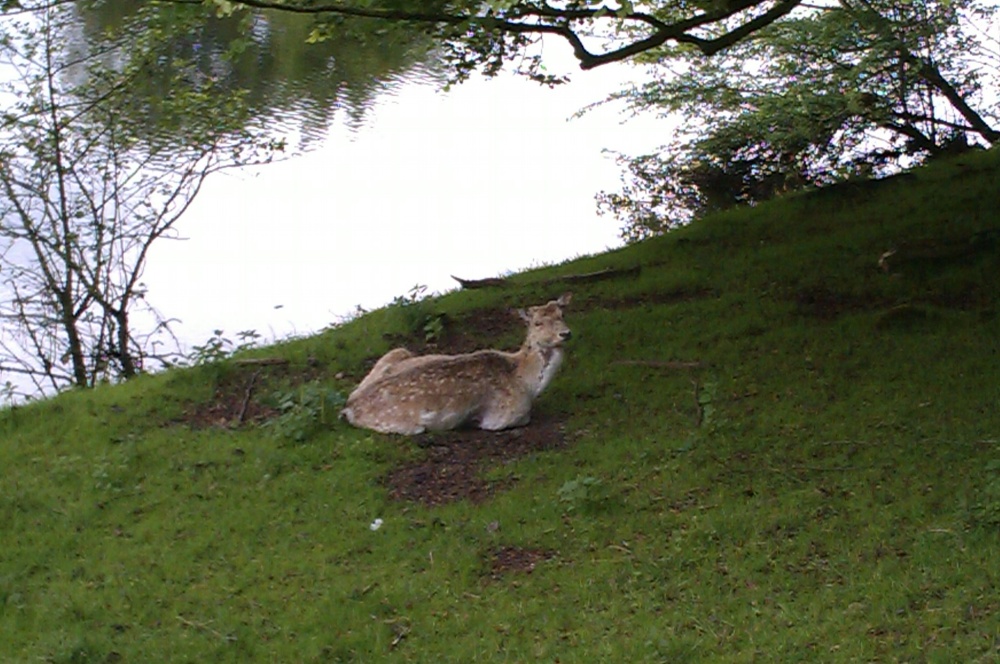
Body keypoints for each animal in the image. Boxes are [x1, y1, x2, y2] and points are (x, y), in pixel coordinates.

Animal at [341, 293, 573, 435]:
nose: (566, 333)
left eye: (562, 314)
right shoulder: (504, 415)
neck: (526, 382)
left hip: (398, 351)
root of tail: (349, 407)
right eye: (537, 323)